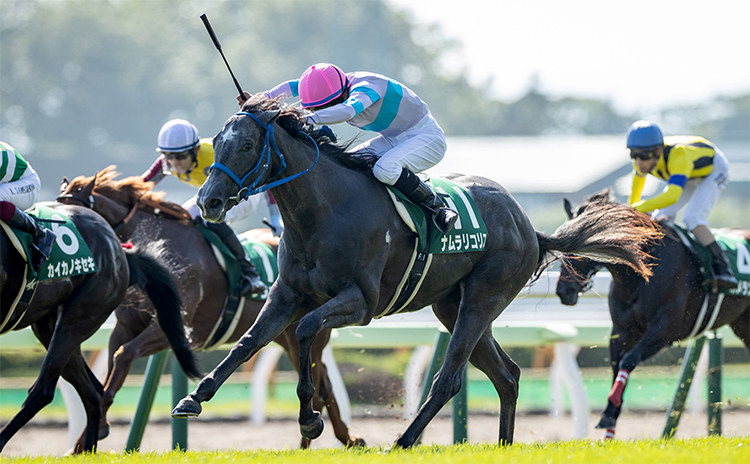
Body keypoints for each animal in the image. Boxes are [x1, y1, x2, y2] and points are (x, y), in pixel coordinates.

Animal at [58, 168, 364, 450]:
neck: (158, 248)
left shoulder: (179, 330)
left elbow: (124, 355)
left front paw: (94, 433)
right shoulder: (123, 328)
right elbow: (110, 370)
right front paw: (86, 439)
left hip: (306, 335)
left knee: (323, 386)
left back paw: (334, 438)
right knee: (324, 384)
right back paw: (331, 440)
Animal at [173, 96, 660, 448]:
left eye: (247, 145)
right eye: (217, 142)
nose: (209, 202)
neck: (323, 212)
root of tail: (528, 227)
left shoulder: (361, 302)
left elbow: (309, 330)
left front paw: (310, 421)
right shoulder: (287, 294)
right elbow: (248, 343)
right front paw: (193, 398)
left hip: (484, 297)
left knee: (449, 379)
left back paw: (404, 440)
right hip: (453, 305)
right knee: (507, 375)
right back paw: (503, 445)